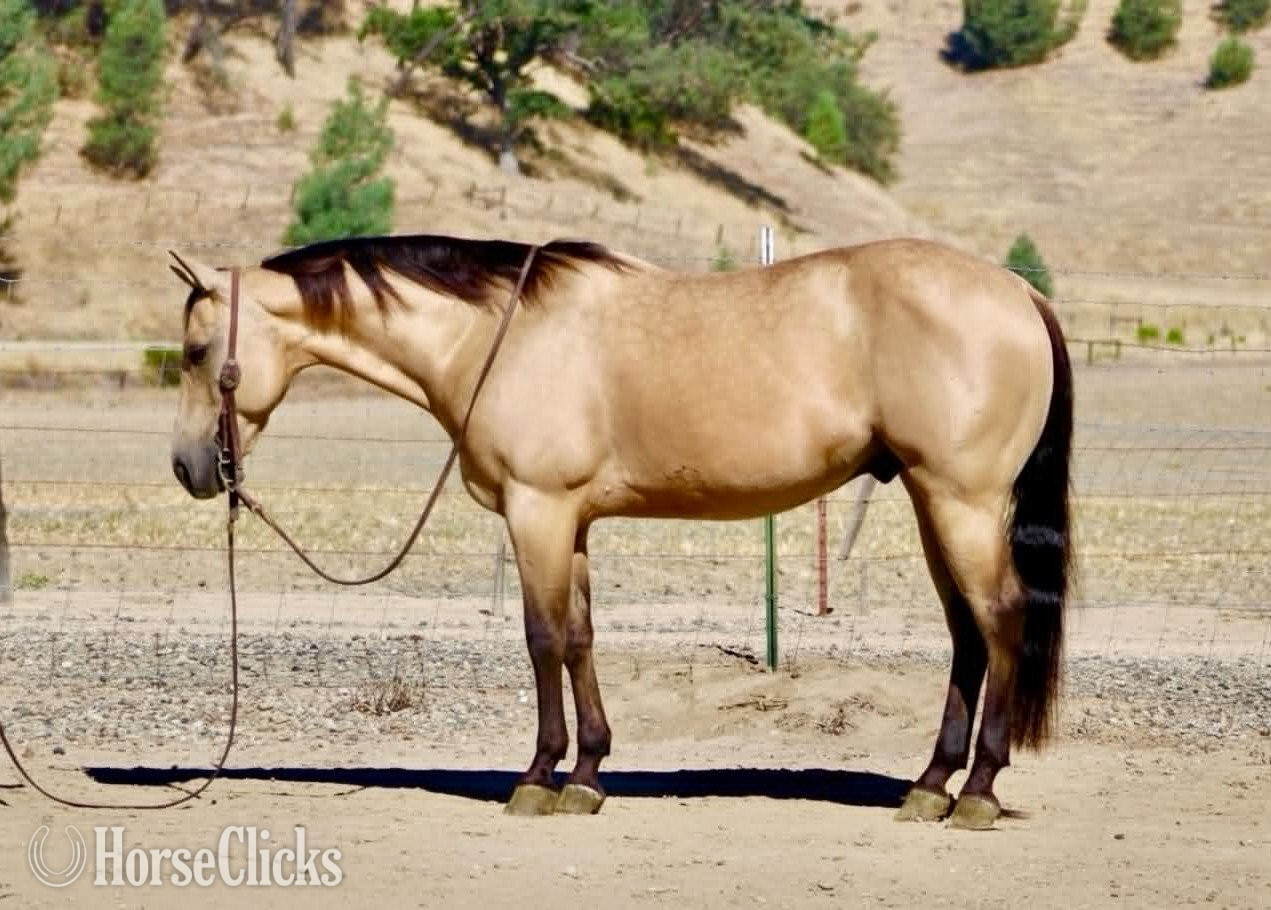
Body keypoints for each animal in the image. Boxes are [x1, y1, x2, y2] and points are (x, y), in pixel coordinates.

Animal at [168, 232, 1073, 830]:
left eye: (196, 349)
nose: (188, 467)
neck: (495, 335)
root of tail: (1015, 291)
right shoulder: (568, 521)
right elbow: (578, 638)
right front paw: (588, 774)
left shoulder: (536, 511)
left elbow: (540, 638)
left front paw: (536, 778)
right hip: (930, 501)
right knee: (965, 634)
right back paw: (929, 785)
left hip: (959, 500)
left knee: (999, 622)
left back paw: (977, 791)